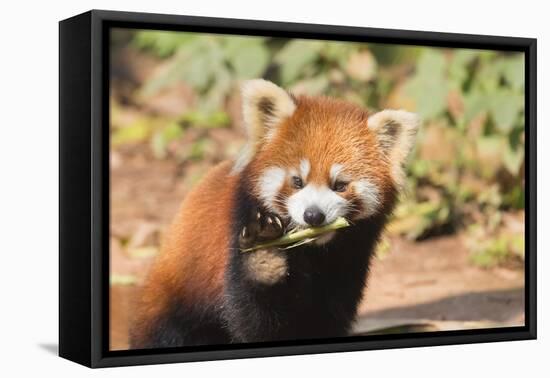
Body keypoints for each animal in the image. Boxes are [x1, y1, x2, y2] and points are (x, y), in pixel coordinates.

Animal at [129, 79, 420, 348]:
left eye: (339, 185)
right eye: (297, 181)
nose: (313, 216)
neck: (312, 253)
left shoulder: (349, 260)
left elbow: (327, 314)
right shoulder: (237, 230)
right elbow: (254, 319)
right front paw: (264, 258)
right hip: (176, 302)